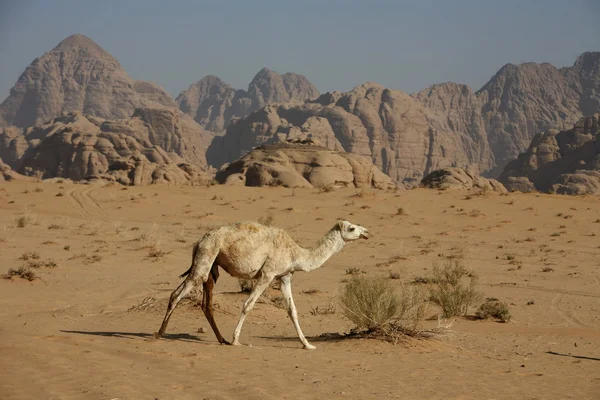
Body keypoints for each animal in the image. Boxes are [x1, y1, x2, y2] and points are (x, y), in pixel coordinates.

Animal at [154, 220, 370, 348]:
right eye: (352, 228)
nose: (367, 232)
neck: (296, 253)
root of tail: (199, 241)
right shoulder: (267, 273)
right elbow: (248, 304)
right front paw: (237, 340)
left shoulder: (285, 276)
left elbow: (292, 310)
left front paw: (307, 344)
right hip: (206, 256)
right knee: (177, 293)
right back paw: (159, 333)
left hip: (212, 265)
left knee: (206, 303)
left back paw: (221, 339)